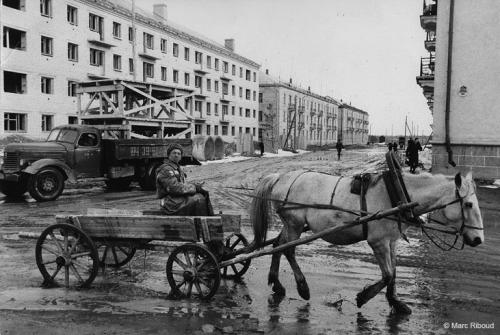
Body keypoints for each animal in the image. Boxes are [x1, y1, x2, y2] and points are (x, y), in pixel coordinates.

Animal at [250, 171, 484, 316]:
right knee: (288, 250)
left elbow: (393, 274)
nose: (478, 239)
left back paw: (277, 284)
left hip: (291, 225)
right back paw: (302, 287)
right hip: (295, 223)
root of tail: (281, 177)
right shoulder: (378, 241)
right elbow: (387, 275)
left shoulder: (391, 241)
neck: (396, 195)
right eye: (468, 204)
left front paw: (396, 302)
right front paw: (364, 296)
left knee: (277, 245)